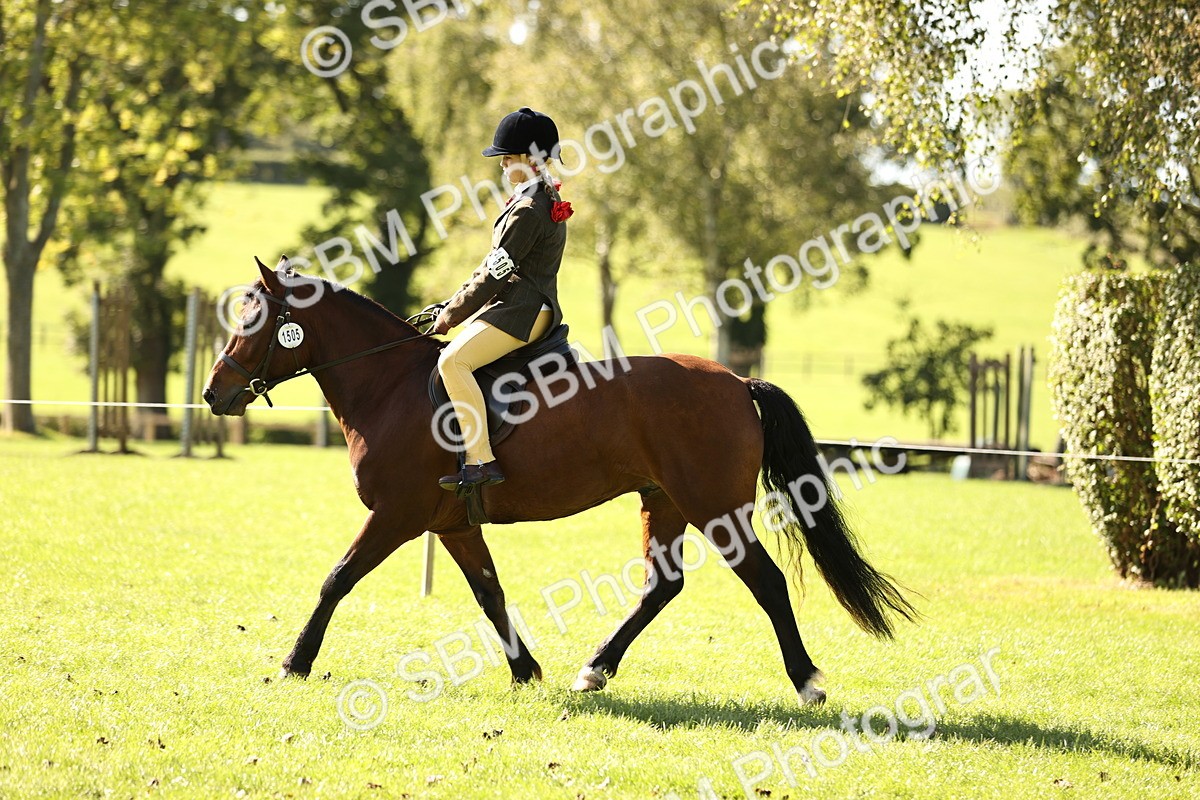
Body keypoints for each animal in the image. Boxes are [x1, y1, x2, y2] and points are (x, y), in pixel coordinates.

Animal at [201, 256, 916, 705]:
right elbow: (489, 594)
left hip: (715, 507)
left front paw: (295, 662)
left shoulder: (397, 517)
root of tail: (738, 382)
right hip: (664, 502)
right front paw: (525, 671)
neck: (389, 385)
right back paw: (594, 670)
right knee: (663, 585)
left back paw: (807, 682)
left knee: (764, 582)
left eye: (254, 321)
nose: (214, 393)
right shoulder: (451, 524)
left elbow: (337, 579)